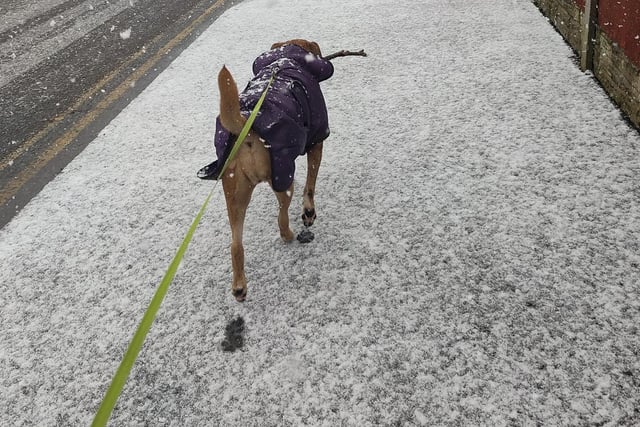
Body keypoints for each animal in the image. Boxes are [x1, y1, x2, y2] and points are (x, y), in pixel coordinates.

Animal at [211, 39, 336, 300]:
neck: (284, 58)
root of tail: (247, 129)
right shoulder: (317, 140)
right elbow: (311, 183)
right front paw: (309, 212)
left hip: (234, 192)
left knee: (235, 243)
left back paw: (239, 287)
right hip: (283, 176)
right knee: (282, 217)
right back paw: (289, 235)